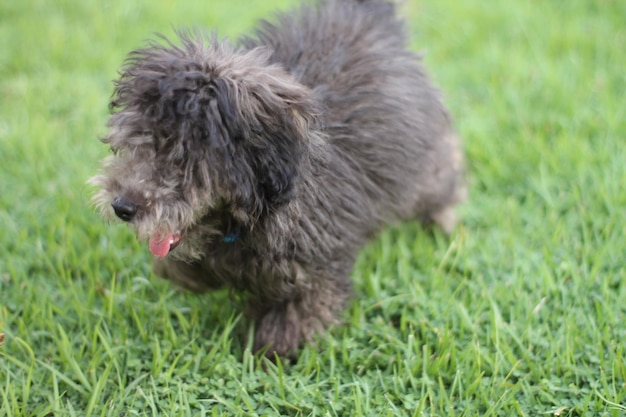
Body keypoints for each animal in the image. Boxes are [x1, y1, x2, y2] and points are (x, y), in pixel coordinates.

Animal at [91, 0, 464, 358]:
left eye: (183, 160)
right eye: (136, 143)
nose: (122, 206)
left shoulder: (313, 261)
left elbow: (298, 310)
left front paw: (271, 352)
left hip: (424, 162)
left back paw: (444, 225)